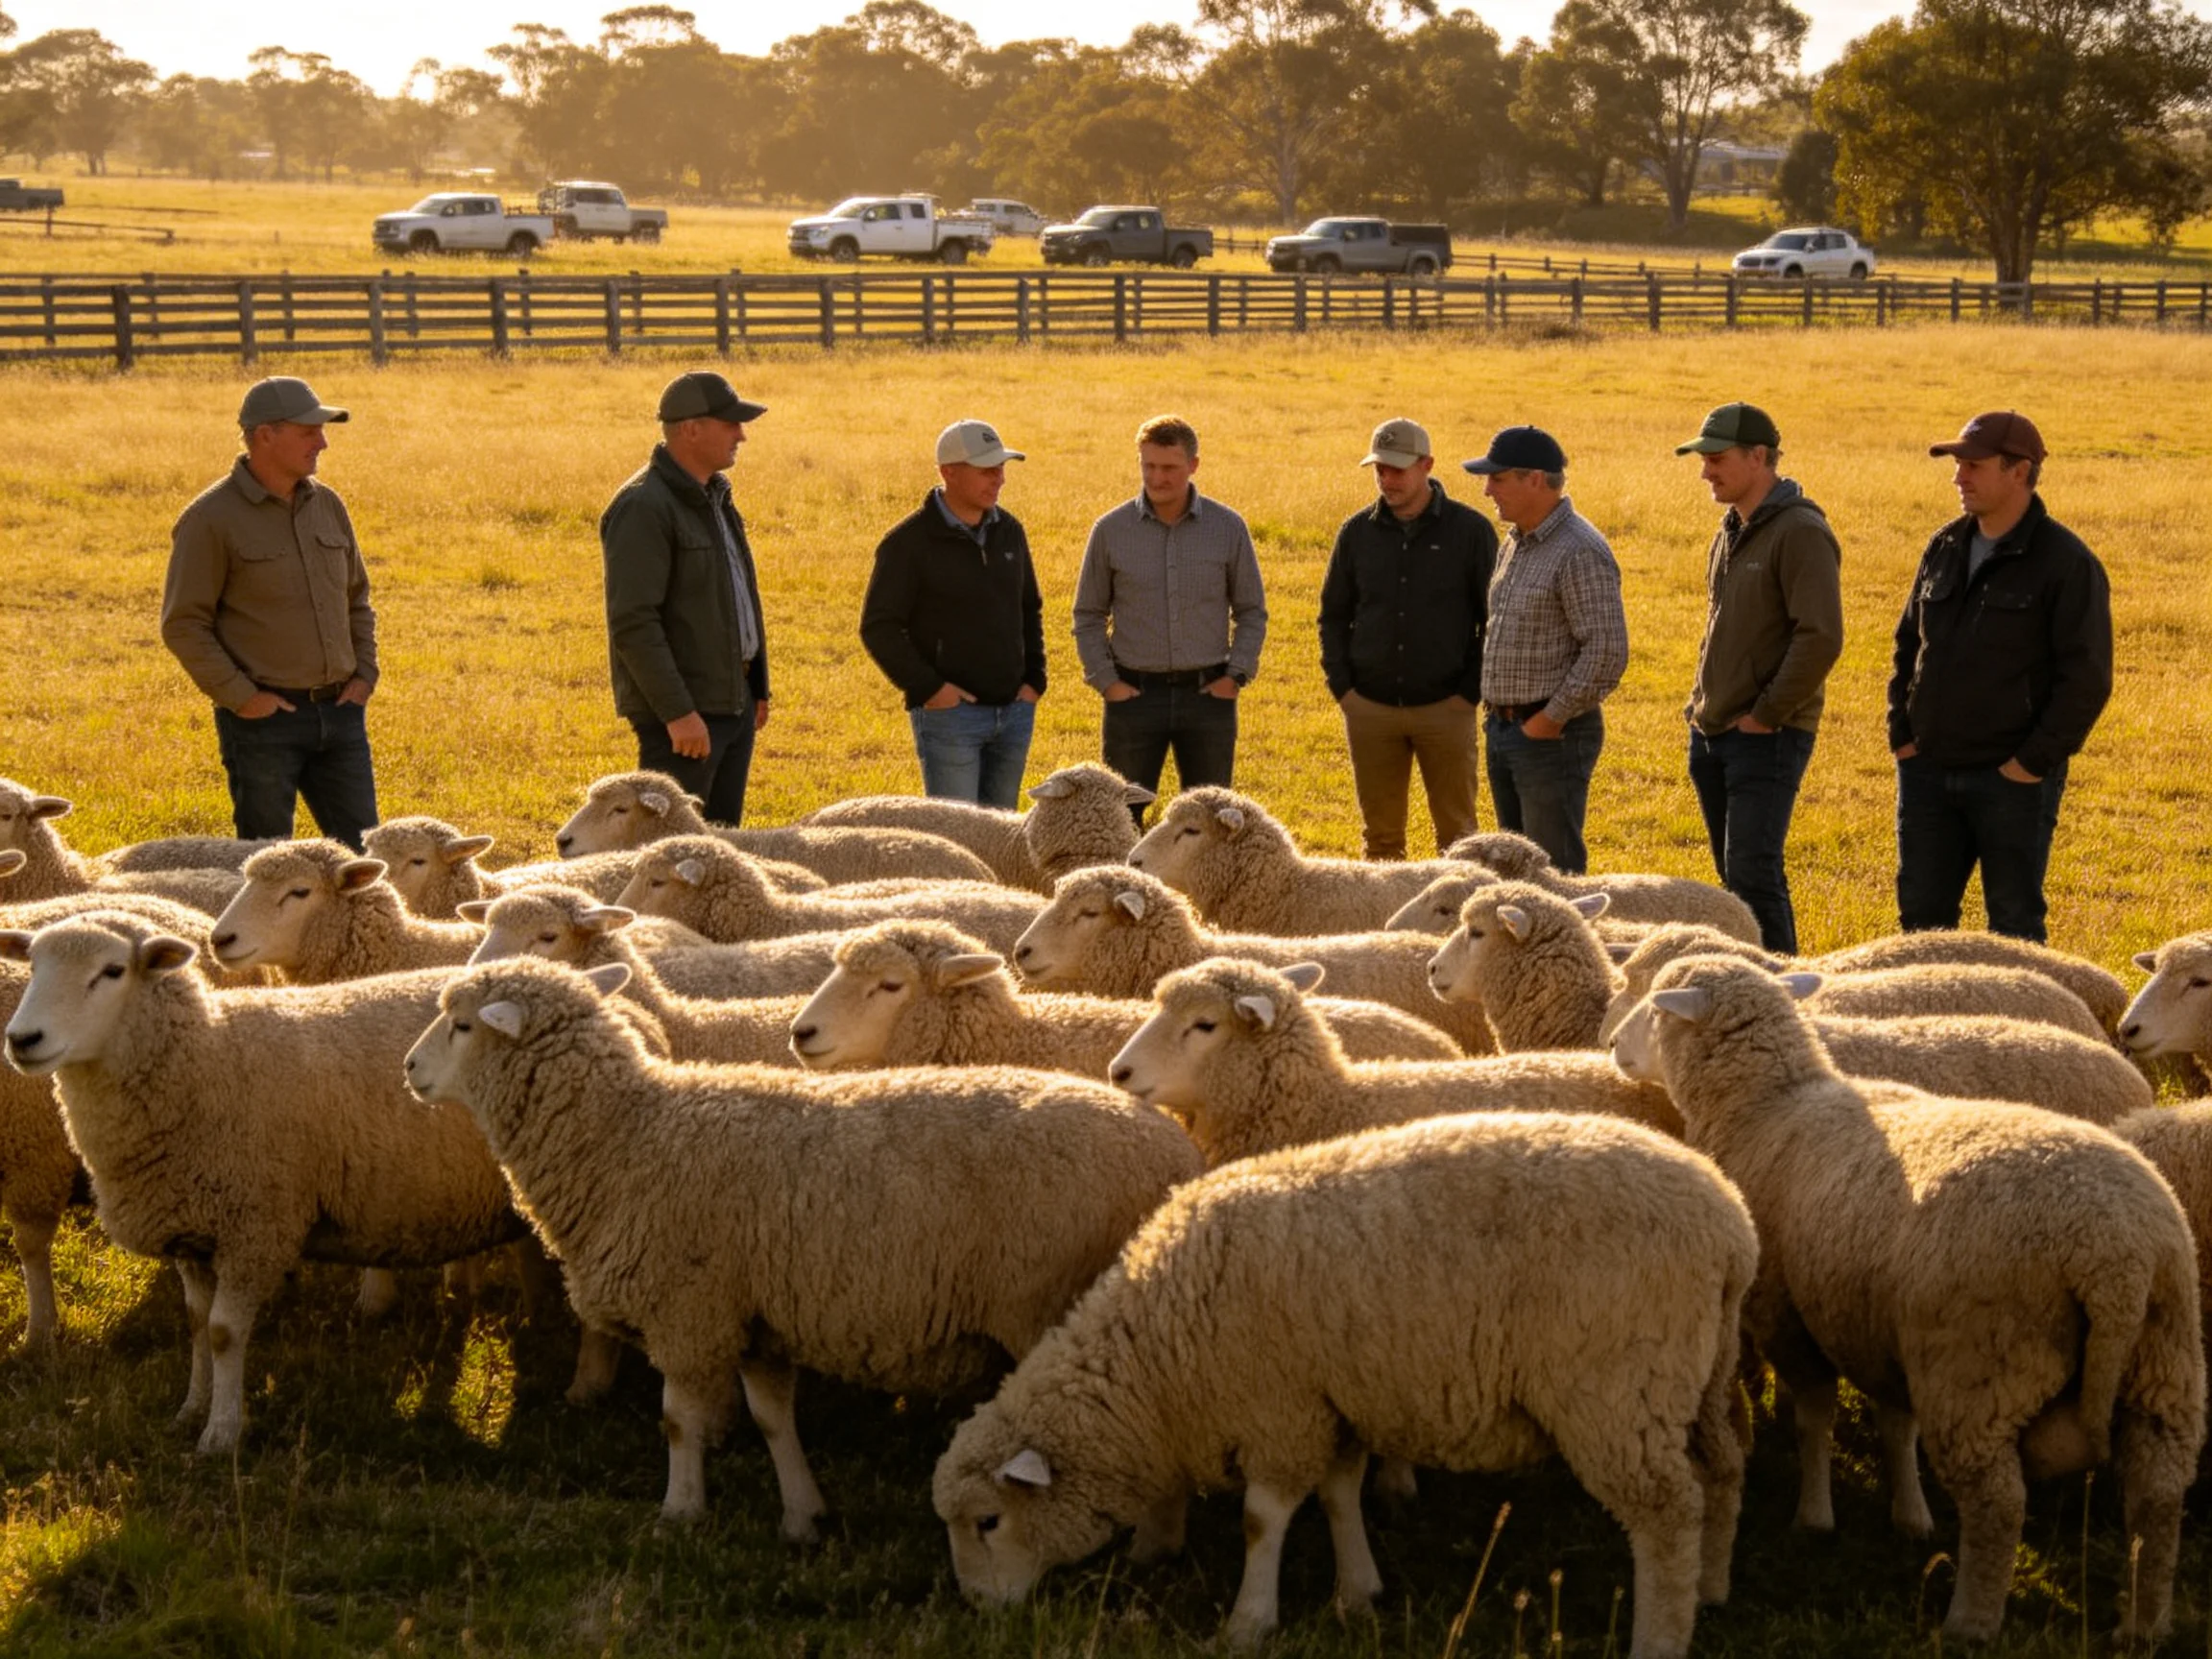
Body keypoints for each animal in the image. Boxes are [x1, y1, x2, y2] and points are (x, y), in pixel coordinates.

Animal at [0, 914, 540, 1453]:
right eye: (33, 966)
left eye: (112, 971)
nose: (22, 1040)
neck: (206, 1060)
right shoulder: (193, 1234)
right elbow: (196, 1324)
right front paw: (191, 1409)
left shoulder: (255, 1228)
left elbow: (222, 1332)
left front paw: (221, 1433)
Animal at [401, 954, 1204, 1533]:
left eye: (463, 1026)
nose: (409, 1069)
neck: (629, 1132)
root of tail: (1178, 1156)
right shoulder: (760, 1317)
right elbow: (771, 1420)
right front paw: (802, 1516)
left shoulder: (688, 1311)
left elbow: (678, 1422)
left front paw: (680, 1513)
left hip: (1050, 1304)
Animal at [933, 1109, 1756, 1659]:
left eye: (988, 1522)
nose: (977, 1610)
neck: (1161, 1352)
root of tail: (1730, 1224)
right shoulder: (1335, 1396)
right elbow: (1339, 1495)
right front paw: (1358, 1594)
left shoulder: (1281, 1406)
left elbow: (1263, 1519)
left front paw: (1249, 1622)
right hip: (1701, 1378)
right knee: (1719, 1475)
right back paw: (1712, 1590)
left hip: (1617, 1388)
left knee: (1665, 1514)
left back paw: (1660, 1636)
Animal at [1609, 954, 2204, 1643]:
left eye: (1656, 1009)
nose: (1613, 1046)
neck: (1770, 1104)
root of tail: (2117, 1259)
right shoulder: (1882, 1322)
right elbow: (1896, 1425)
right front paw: (1909, 1515)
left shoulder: (1787, 1315)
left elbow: (1815, 1416)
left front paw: (1814, 1516)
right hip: (2164, 1361)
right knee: (2158, 1496)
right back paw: (2145, 1623)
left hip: (1980, 1367)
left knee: (1998, 1504)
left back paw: (1970, 1622)